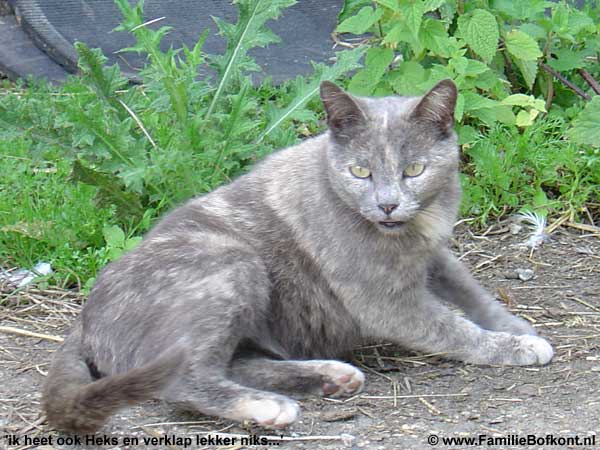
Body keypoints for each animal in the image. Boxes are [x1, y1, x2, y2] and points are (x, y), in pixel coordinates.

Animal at [43, 80, 553, 433]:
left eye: (414, 169)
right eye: (360, 171)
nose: (388, 204)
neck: (414, 229)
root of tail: (84, 318)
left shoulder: (433, 255)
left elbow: (471, 290)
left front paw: (515, 326)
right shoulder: (387, 302)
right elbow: (453, 328)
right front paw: (516, 346)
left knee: (233, 363)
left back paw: (330, 376)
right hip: (231, 263)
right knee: (183, 377)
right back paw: (267, 406)